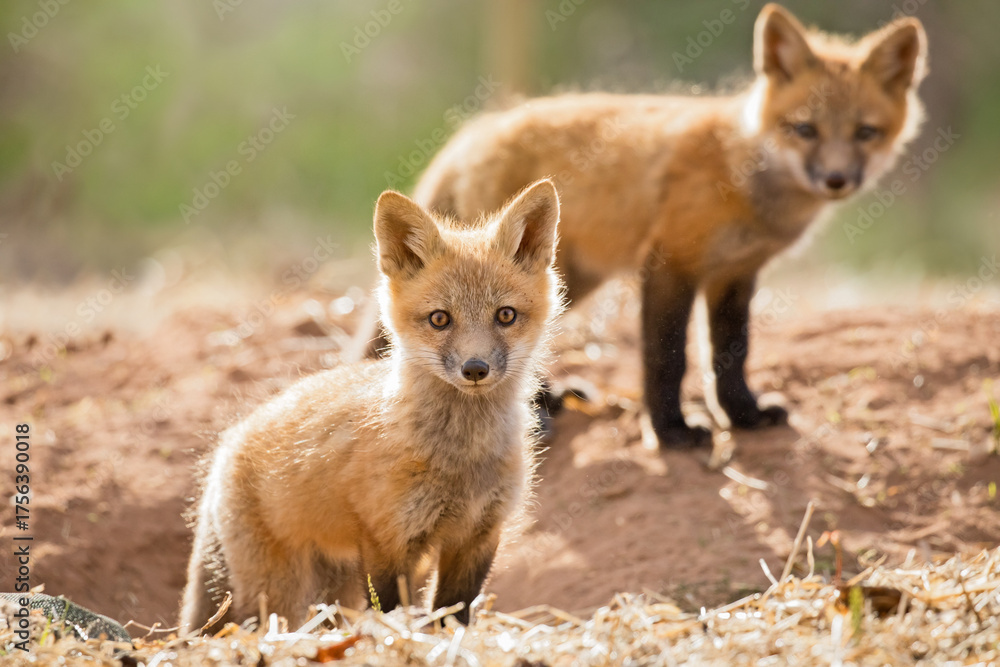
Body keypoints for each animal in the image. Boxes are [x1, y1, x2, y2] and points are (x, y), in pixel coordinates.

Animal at [179, 179, 563, 633]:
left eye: (505, 315)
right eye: (440, 319)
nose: (475, 368)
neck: (462, 460)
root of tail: (230, 439)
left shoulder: (478, 536)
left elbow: (454, 613)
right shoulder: (387, 541)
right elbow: (391, 610)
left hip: (336, 586)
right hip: (280, 589)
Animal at [400, 4, 928, 448]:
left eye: (865, 132)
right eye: (805, 129)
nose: (836, 180)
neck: (740, 180)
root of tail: (472, 132)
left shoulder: (735, 274)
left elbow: (731, 354)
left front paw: (743, 415)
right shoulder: (671, 264)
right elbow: (668, 358)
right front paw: (672, 431)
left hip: (570, 279)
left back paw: (545, 400)